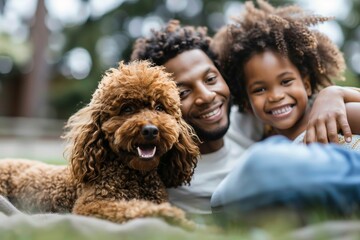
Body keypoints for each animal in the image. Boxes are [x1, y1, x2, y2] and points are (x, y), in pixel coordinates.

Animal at [0, 60, 200, 229]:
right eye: (127, 109)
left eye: (159, 107)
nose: (150, 130)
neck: (136, 175)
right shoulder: (90, 206)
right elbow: (131, 208)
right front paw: (169, 215)